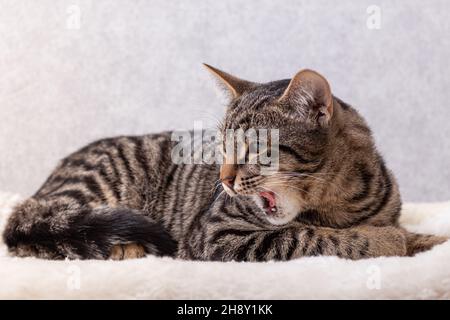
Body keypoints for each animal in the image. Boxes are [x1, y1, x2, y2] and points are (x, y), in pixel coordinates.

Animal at [2, 64, 446, 260]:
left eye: (252, 149)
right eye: (222, 148)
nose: (224, 180)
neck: (339, 205)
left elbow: (410, 233)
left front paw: (427, 241)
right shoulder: (218, 232)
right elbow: (311, 236)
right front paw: (386, 241)